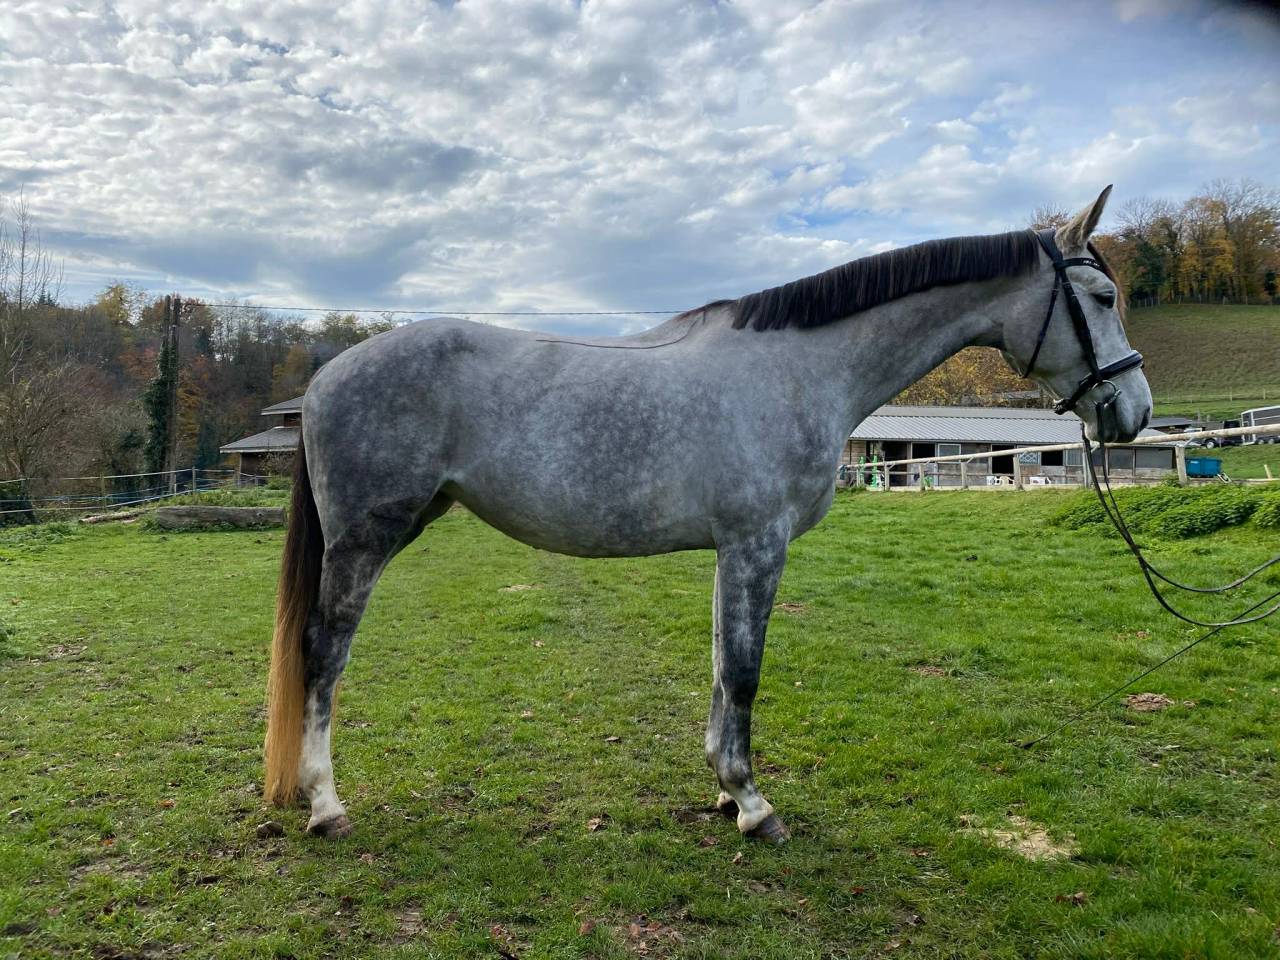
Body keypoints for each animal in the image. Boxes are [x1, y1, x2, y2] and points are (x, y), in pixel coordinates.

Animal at [263, 186, 1152, 841]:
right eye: (1103, 295)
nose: (1133, 411)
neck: (802, 368)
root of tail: (326, 376)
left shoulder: (733, 550)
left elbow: (725, 668)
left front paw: (727, 792)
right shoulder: (759, 544)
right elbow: (748, 671)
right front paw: (755, 808)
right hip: (366, 539)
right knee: (324, 654)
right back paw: (326, 805)